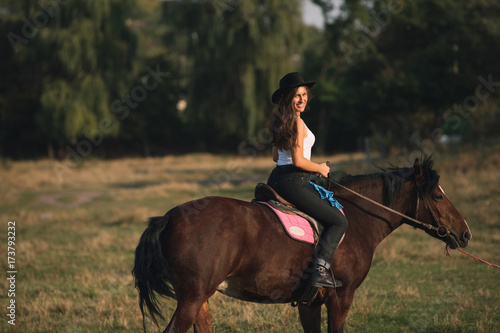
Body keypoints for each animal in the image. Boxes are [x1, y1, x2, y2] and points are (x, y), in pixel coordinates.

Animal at [131, 157, 470, 330]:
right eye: (437, 196)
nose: (465, 233)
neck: (356, 219)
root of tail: (169, 217)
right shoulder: (341, 298)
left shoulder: (310, 303)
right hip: (191, 299)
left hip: (199, 299)